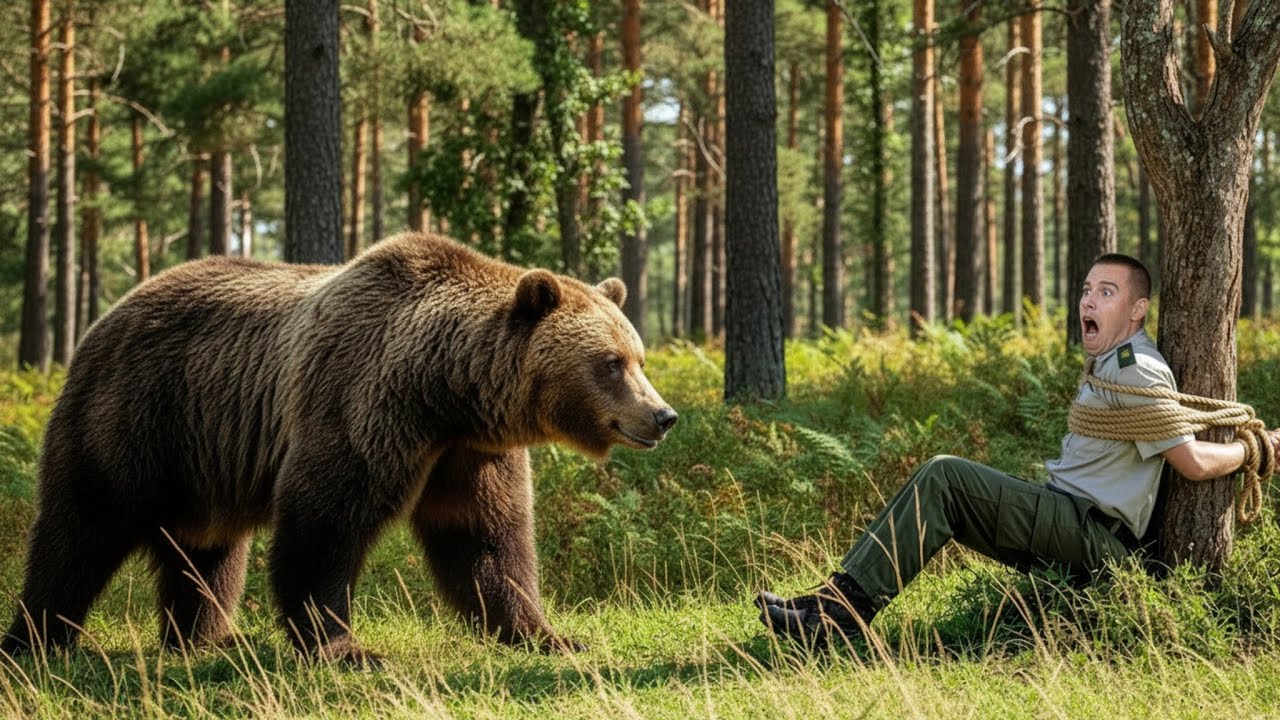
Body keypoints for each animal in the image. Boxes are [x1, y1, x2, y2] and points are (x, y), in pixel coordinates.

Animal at [1, 232, 676, 665]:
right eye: (610, 363)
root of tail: (106, 315)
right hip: (136, 414)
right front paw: (344, 647)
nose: (662, 415)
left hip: (205, 457)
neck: (445, 391)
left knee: (207, 549)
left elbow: (486, 539)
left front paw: (550, 635)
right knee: (80, 527)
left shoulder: (469, 452)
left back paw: (207, 637)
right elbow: (325, 521)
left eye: (638, 356)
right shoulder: (361, 401)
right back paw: (37, 639)